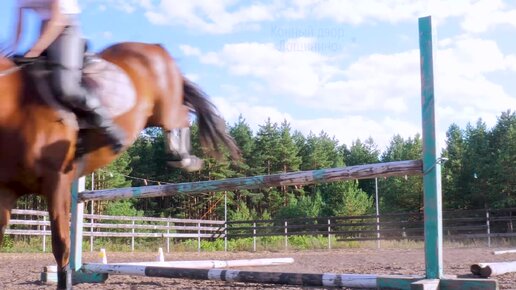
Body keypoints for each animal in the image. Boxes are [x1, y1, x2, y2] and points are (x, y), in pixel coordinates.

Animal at [0, 42, 239, 288]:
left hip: (164, 106)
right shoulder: (6, 191)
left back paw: (185, 157)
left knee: (179, 114)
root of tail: (154, 46)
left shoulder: (57, 182)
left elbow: (61, 245)